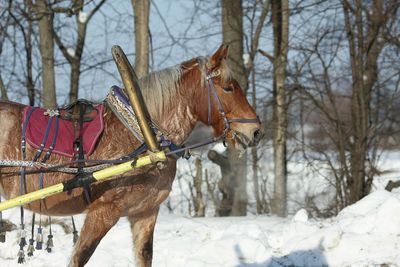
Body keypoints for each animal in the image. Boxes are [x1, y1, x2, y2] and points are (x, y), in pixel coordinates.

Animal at [0, 45, 262, 266]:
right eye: (228, 87)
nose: (256, 131)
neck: (144, 138)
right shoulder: (102, 212)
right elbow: (79, 258)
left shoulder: (145, 213)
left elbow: (144, 256)